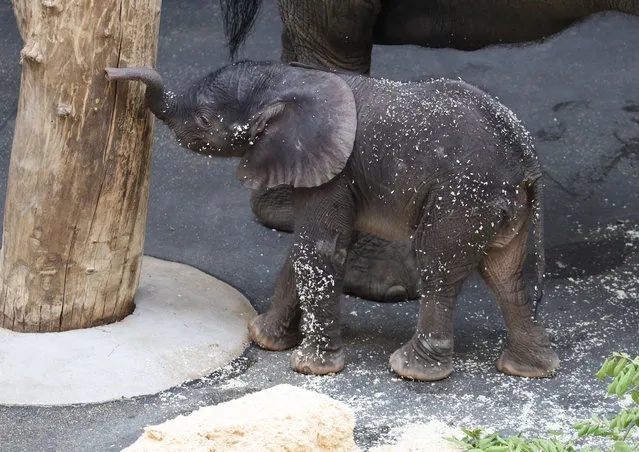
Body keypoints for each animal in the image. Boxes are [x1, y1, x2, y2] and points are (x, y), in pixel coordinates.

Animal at [107, 60, 564, 382]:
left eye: (204, 119)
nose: (110, 72)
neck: (288, 78)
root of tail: (528, 161)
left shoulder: (333, 167)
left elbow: (318, 249)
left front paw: (310, 368)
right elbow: (304, 252)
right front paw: (263, 338)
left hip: (464, 196)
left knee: (439, 268)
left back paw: (412, 370)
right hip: (500, 204)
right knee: (506, 275)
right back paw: (529, 368)